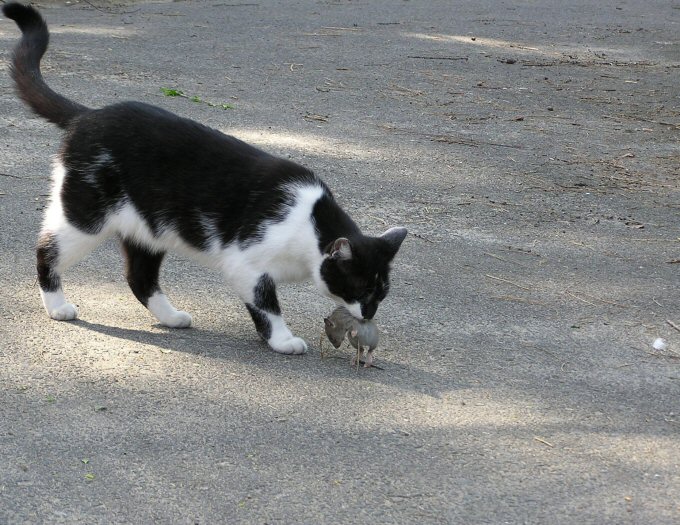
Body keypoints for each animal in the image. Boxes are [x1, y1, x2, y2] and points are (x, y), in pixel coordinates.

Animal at [2, 2, 406, 354]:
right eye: (361, 287)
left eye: (381, 292)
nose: (369, 312)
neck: (309, 225)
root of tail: (86, 116)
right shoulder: (247, 265)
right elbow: (267, 305)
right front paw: (282, 340)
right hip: (85, 217)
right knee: (47, 251)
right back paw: (57, 305)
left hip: (147, 229)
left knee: (140, 277)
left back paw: (170, 316)